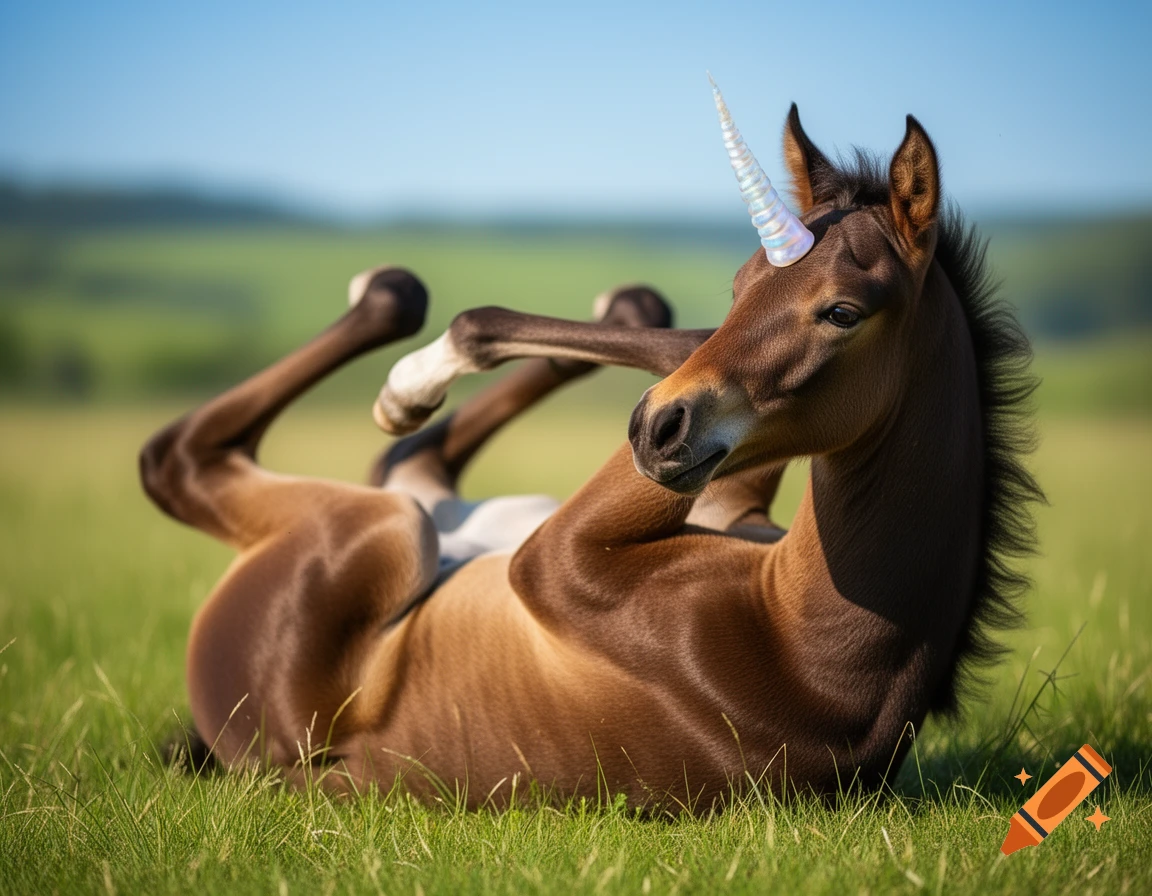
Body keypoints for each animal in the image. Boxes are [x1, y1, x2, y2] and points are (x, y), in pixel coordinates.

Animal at [140, 85, 1041, 811]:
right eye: (744, 284)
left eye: (843, 312)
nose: (656, 428)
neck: (822, 659)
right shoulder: (724, 490)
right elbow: (682, 337)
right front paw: (428, 374)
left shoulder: (555, 557)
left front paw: (420, 371)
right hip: (449, 511)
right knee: (406, 451)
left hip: (387, 532)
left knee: (178, 461)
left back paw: (394, 346)